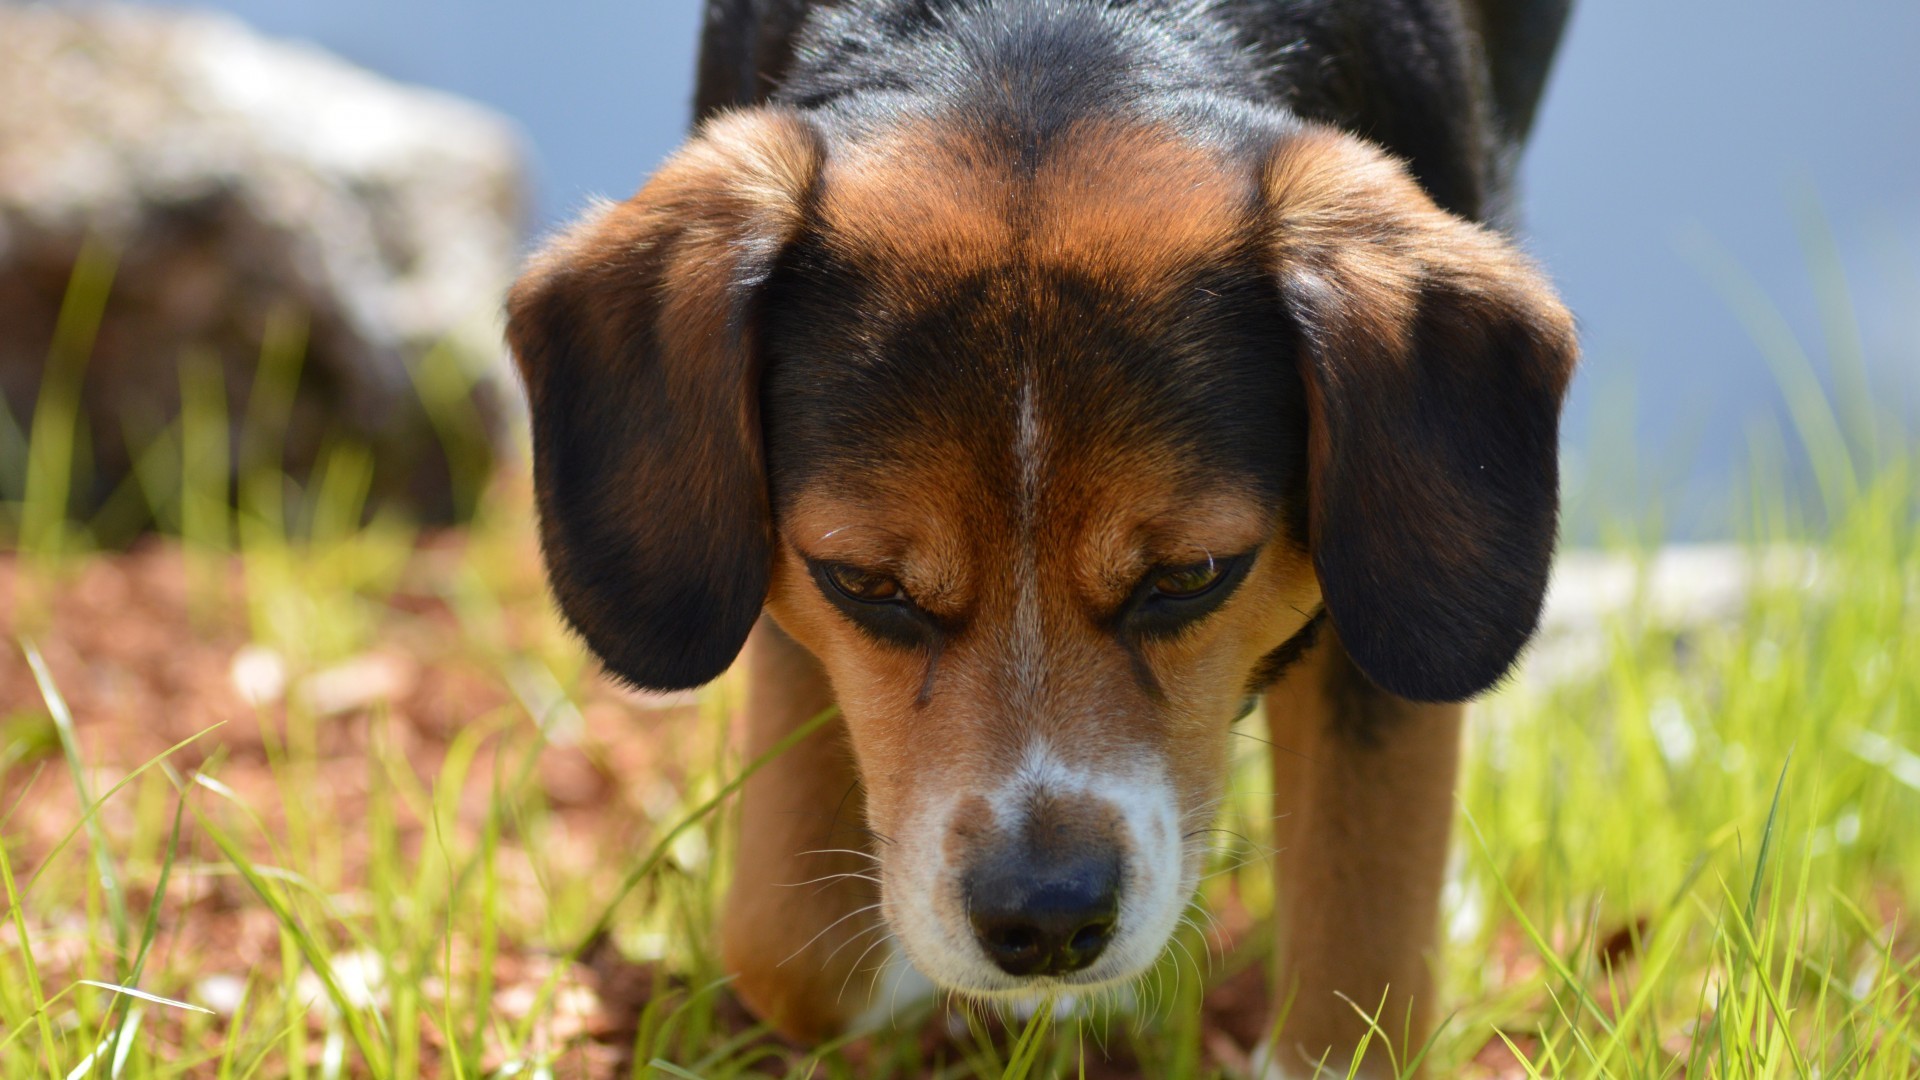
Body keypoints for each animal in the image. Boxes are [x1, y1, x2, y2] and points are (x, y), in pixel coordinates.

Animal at [506, 0, 1574, 1068]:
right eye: (865, 583)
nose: (1047, 919)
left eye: (1193, 574)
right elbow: (787, 945)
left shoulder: (1381, 621)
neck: (1039, 33)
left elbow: (1359, 958)